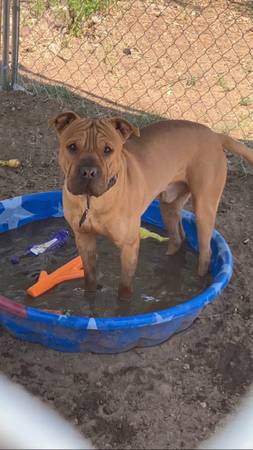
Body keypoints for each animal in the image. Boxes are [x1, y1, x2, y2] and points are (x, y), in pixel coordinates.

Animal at [50, 113, 253, 298]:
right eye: (72, 147)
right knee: (178, 237)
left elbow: (124, 287)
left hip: (204, 210)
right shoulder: (84, 239)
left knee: (205, 253)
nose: (88, 171)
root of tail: (215, 135)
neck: (91, 202)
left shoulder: (129, 246)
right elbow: (90, 278)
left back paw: (201, 286)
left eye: (108, 149)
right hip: (169, 206)